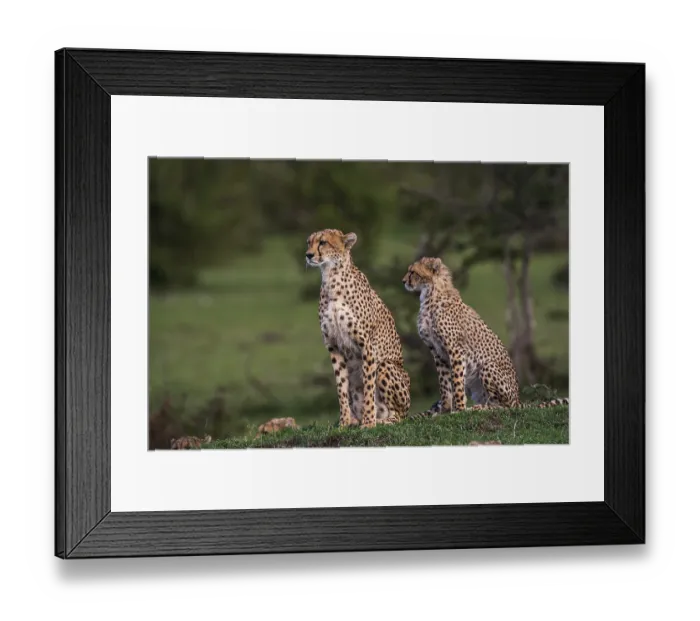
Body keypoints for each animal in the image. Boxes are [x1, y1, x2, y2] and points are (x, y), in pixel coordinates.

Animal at [306, 228, 411, 429]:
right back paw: (357, 420)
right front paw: (344, 422)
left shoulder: (366, 346)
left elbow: (369, 387)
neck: (332, 278)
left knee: (399, 415)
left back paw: (381, 420)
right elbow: (341, 388)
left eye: (323, 242)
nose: (308, 255)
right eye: (309, 242)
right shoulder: (333, 346)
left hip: (387, 367)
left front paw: (369, 423)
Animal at [402, 256, 569, 417]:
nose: (403, 281)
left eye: (412, 272)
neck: (430, 294)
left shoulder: (456, 350)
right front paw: (445, 410)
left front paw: (459, 410)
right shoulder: (437, 352)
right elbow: (445, 385)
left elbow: (457, 383)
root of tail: (518, 399)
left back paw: (477, 409)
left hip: (487, 367)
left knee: (503, 407)